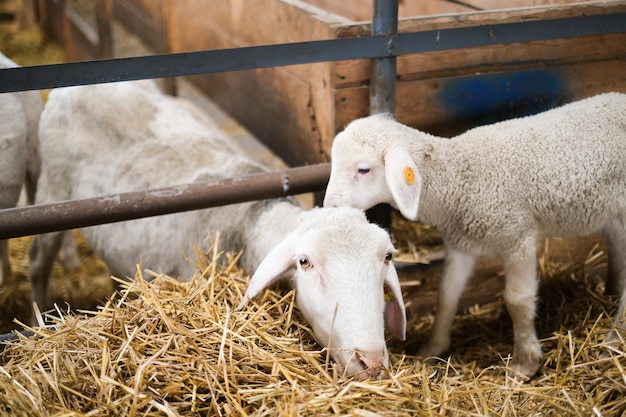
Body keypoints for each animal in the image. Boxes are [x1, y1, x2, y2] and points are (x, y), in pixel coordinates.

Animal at [30, 79, 404, 380]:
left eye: (387, 257)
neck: (251, 220)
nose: (371, 362)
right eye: (304, 262)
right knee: (37, 263)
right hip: (52, 191)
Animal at [322, 92, 624, 376]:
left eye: (363, 169)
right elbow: (446, 295)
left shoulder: (518, 236)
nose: (329, 207)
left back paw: (612, 340)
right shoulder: (461, 243)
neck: (461, 176)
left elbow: (518, 300)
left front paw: (524, 362)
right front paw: (432, 350)